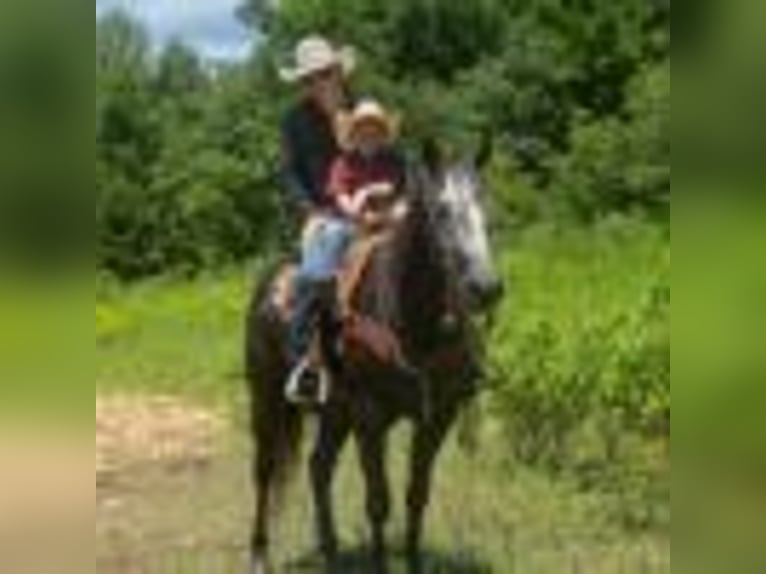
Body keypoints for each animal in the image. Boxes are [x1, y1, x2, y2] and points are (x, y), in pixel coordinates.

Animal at [245, 143, 503, 574]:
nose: (486, 288)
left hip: (335, 412)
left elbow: (417, 494)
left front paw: (414, 563)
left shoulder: (437, 416)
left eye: (487, 205)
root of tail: (270, 283)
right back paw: (260, 554)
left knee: (319, 467)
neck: (410, 320)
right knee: (265, 470)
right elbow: (378, 501)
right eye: (441, 210)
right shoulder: (369, 416)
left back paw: (331, 551)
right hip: (266, 398)